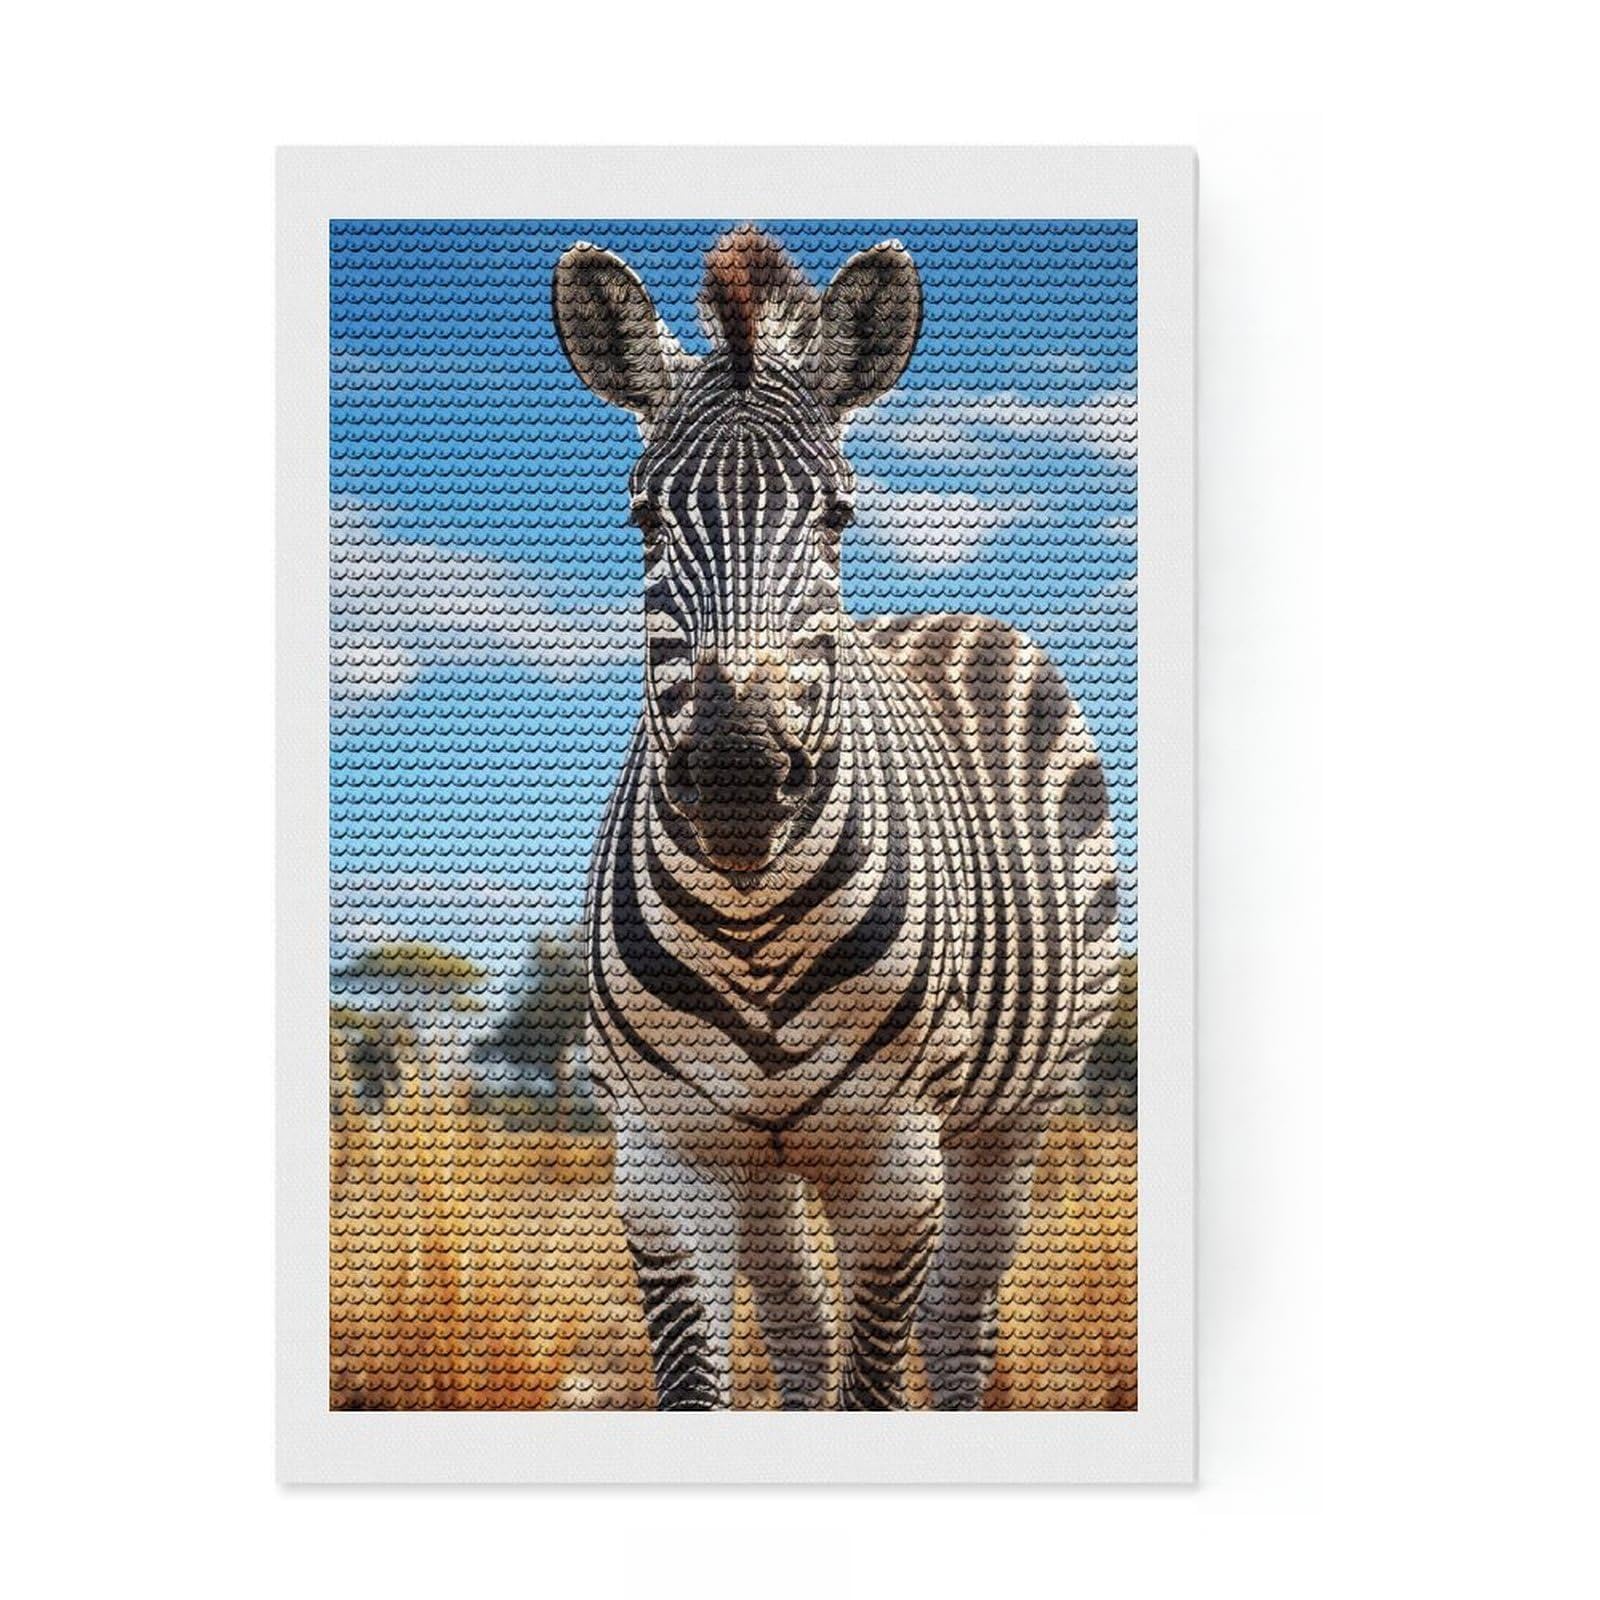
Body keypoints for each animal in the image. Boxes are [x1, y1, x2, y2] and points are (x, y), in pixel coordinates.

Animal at [551, 225, 1122, 1409]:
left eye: (836, 514)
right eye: (643, 517)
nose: (735, 773)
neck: (753, 925)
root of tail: (950, 612)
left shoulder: (895, 1156)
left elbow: (877, 1383)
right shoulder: (664, 1156)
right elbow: (707, 1384)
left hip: (1017, 1112)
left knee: (954, 1325)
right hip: (764, 1155)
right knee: (804, 1336)